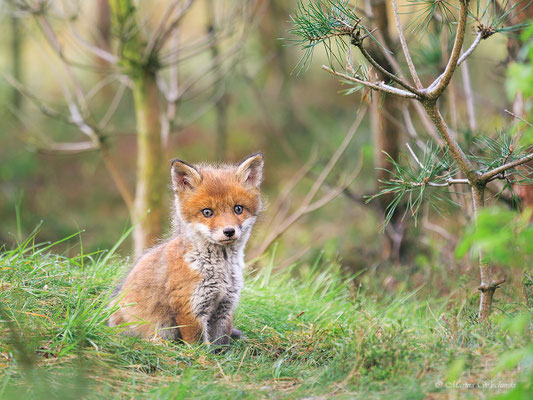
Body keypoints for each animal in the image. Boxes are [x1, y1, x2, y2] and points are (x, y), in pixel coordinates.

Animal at [108, 153, 264, 346]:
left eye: (238, 209)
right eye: (207, 212)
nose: (229, 231)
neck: (222, 270)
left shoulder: (225, 306)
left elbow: (221, 344)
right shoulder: (189, 307)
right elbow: (199, 345)